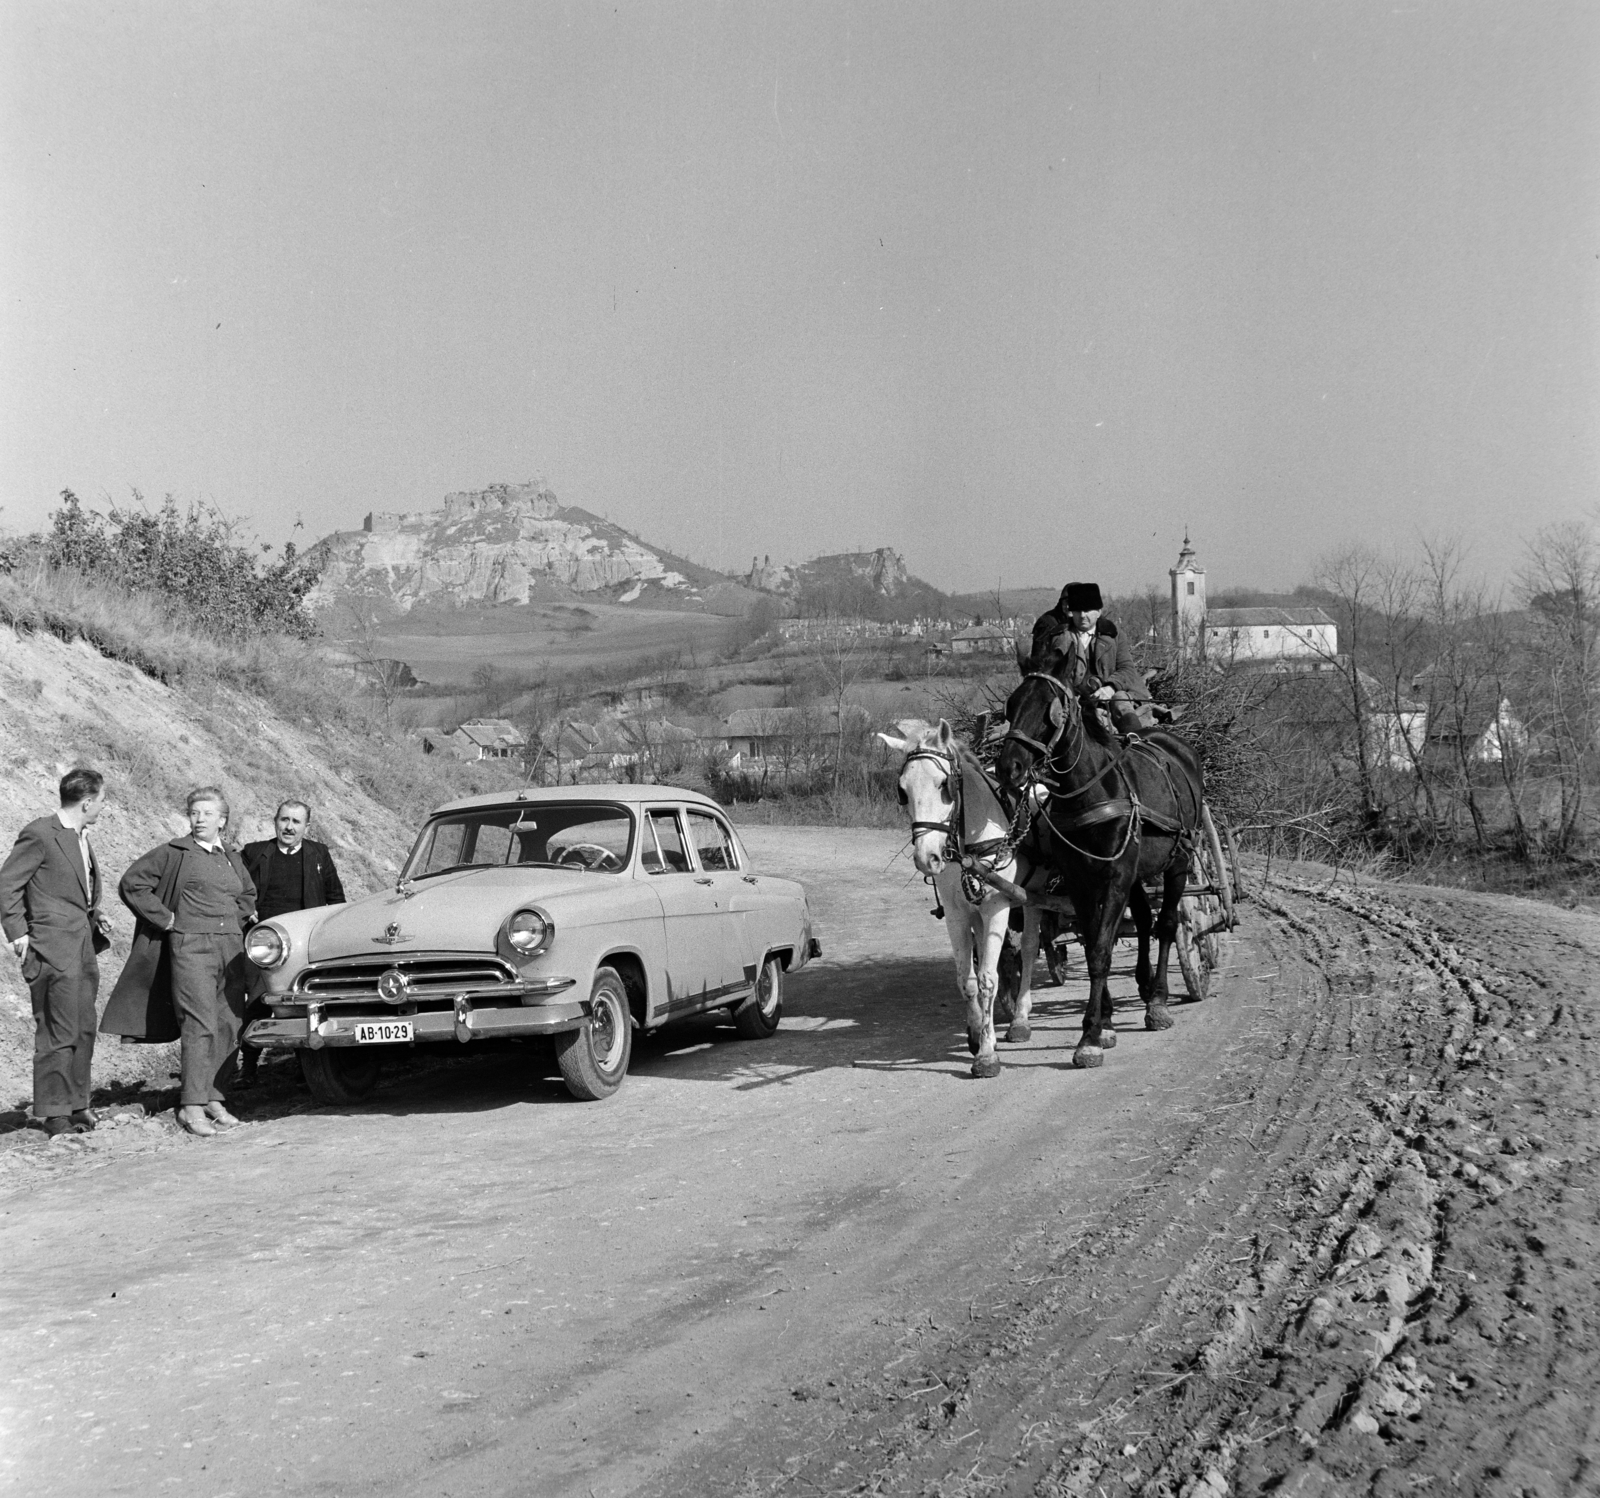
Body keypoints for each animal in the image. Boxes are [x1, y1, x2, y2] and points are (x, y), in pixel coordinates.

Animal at [883, 716, 1043, 1075]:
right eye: (903, 791)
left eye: (944, 784)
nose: (926, 858)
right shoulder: (957, 911)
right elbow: (967, 979)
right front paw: (977, 1034)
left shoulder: (997, 906)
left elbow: (988, 979)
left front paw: (986, 1055)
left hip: (1033, 898)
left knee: (1028, 948)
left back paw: (1021, 1018)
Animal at [992, 649, 1203, 1069]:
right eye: (1011, 705)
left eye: (1050, 708)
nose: (1009, 767)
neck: (1092, 792)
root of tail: (1170, 741)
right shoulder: (1081, 882)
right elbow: (1093, 944)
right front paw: (1103, 1022)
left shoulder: (1115, 877)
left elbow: (1103, 949)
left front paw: (1088, 1037)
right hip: (1139, 873)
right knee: (1143, 921)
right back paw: (1143, 984)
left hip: (1177, 862)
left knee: (1167, 924)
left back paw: (1157, 1000)